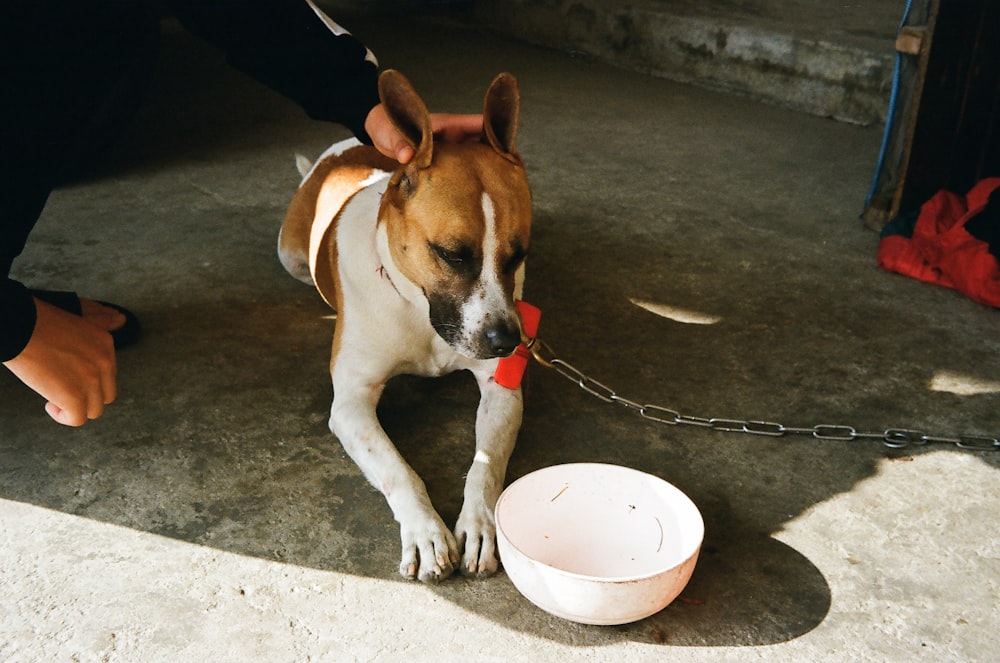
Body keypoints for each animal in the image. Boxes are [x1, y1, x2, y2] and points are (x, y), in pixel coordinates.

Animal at [278, 70, 532, 584]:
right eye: (452, 254)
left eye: (519, 254)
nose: (507, 341)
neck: (419, 309)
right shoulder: (351, 405)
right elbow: (398, 469)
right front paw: (426, 532)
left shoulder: (501, 387)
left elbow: (486, 463)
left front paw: (479, 524)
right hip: (288, 253)